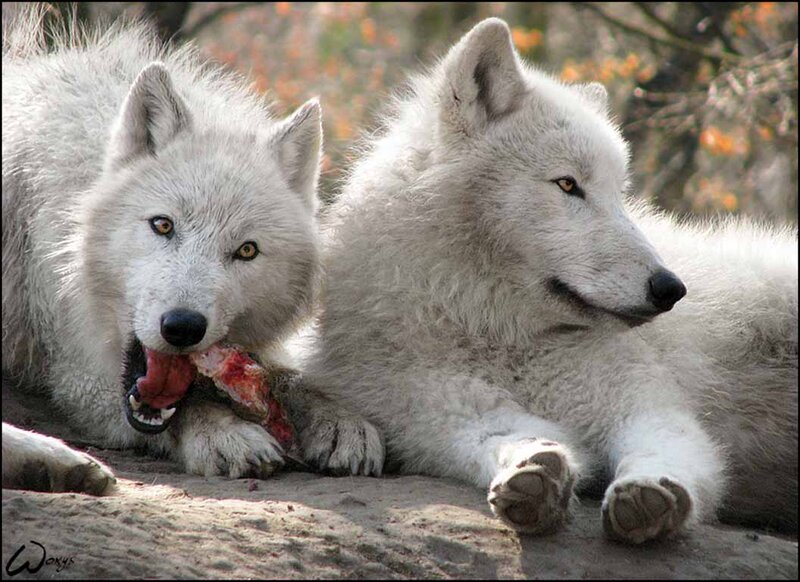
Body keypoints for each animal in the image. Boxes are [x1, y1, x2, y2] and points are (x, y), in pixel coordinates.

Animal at [2, 7, 382, 495]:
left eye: (246, 251)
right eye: (163, 225)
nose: (183, 326)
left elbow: (288, 379)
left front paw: (338, 420)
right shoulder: (78, 373)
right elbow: (191, 406)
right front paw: (225, 433)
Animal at [300, 18, 798, 543]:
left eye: (619, 195)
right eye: (567, 184)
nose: (670, 289)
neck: (496, 334)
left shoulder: (646, 408)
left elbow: (665, 450)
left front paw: (651, 495)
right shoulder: (450, 416)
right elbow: (517, 438)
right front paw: (533, 478)